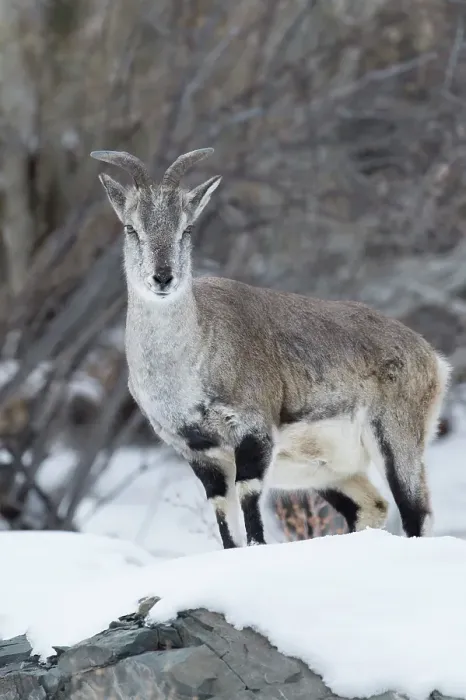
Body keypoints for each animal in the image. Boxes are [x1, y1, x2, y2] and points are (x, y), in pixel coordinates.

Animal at [91, 147, 451, 547]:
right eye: (131, 227)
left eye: (186, 227)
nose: (163, 277)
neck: (191, 363)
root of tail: (432, 359)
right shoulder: (201, 455)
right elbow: (226, 524)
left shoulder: (254, 433)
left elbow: (252, 514)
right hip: (328, 472)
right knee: (371, 506)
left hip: (397, 440)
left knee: (416, 513)